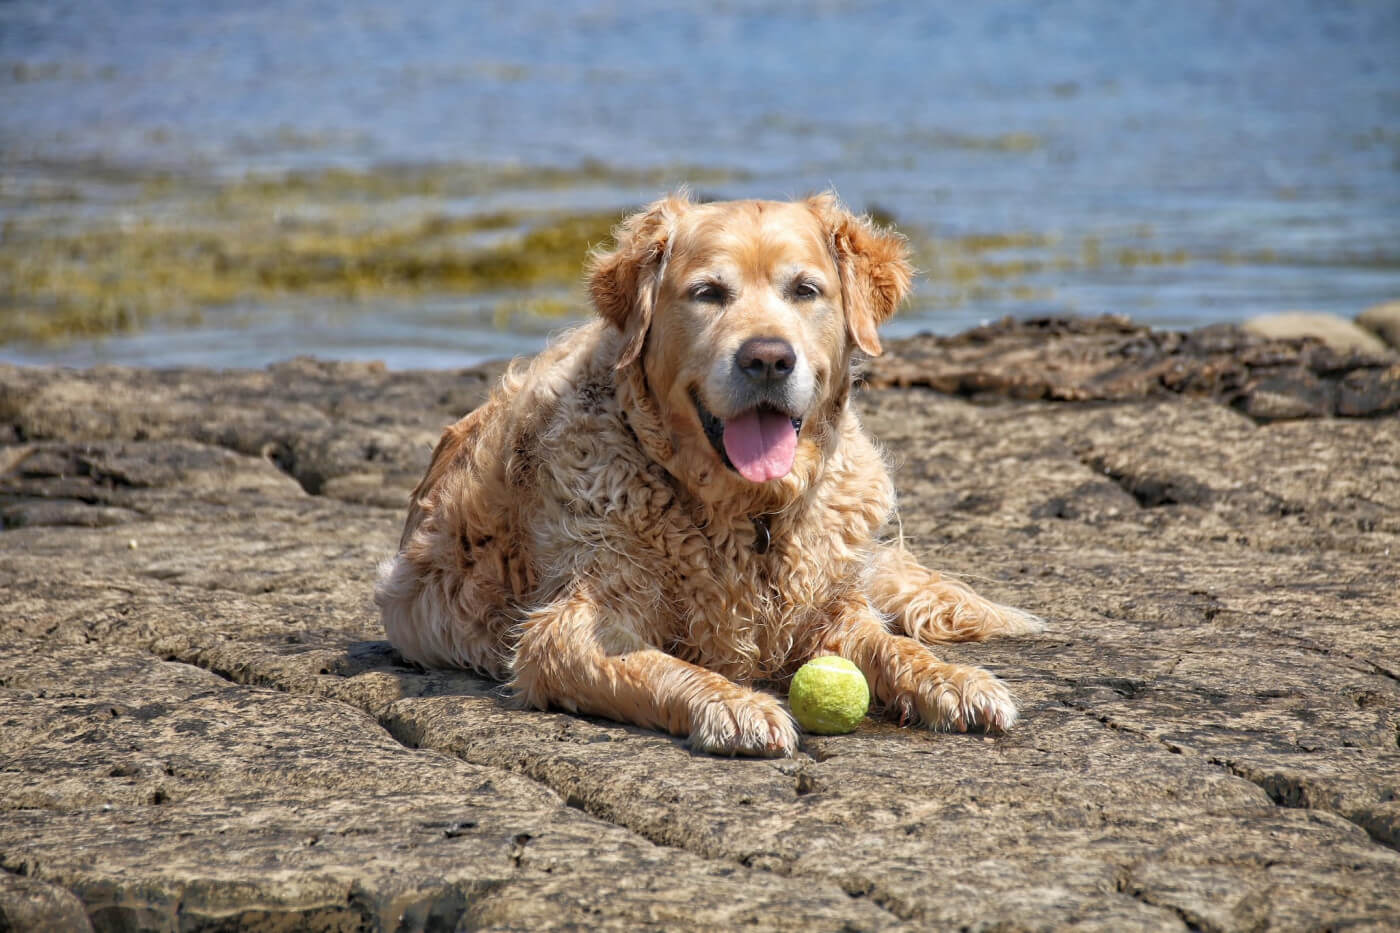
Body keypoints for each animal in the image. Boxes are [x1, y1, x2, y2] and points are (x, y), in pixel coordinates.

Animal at [378, 191, 1047, 750]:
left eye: (805, 290)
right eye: (708, 293)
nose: (768, 358)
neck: (749, 515)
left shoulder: (831, 610)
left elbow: (889, 644)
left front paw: (952, 681)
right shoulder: (566, 628)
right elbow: (659, 666)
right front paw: (733, 706)